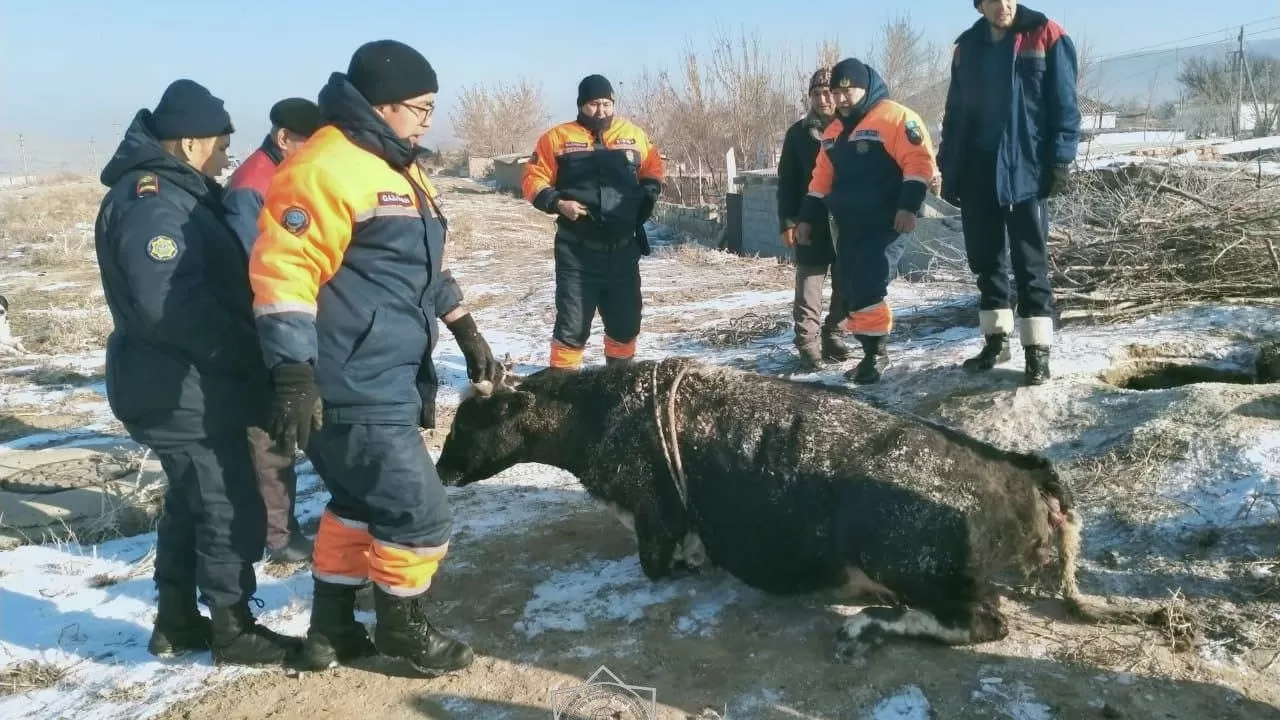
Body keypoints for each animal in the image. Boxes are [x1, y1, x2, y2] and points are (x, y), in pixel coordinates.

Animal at [440, 356, 1152, 661]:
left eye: (473, 418)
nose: (443, 469)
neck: (606, 410)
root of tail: (1018, 467)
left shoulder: (654, 518)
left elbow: (661, 563)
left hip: (906, 557)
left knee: (982, 622)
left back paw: (868, 628)